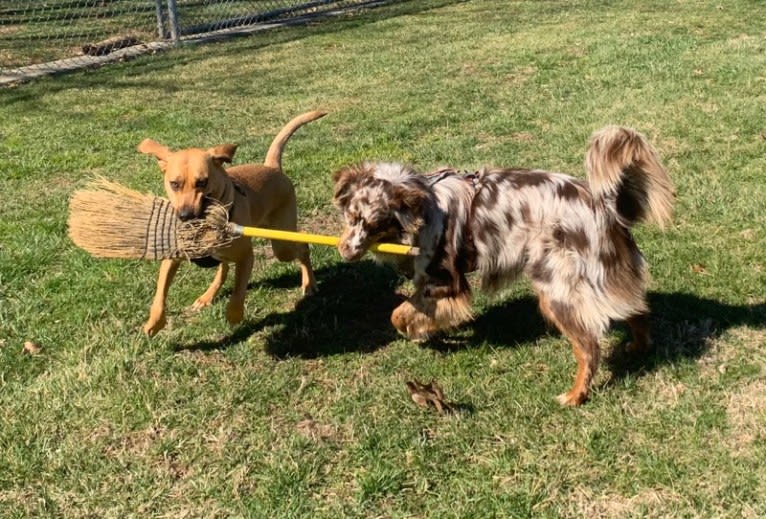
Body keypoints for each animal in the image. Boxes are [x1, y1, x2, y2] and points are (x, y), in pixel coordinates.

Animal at [140, 110, 326, 338]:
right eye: (174, 184)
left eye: (202, 182)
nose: (186, 216)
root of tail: (272, 167)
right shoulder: (172, 258)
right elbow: (160, 294)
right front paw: (154, 323)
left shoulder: (246, 257)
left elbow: (238, 289)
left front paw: (234, 314)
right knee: (224, 266)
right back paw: (208, 296)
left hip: (282, 243)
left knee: (302, 246)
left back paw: (309, 283)